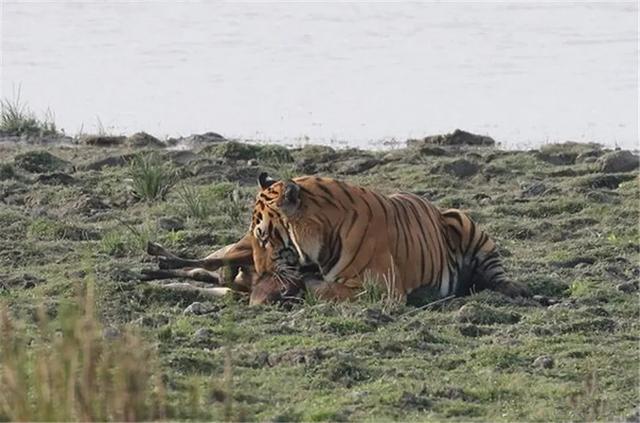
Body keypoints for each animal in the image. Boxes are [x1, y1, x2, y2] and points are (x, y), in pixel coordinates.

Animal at [251, 171, 528, 304]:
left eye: (263, 236)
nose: (260, 273)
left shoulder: (381, 288)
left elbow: (323, 289)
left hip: (462, 220)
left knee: (497, 275)